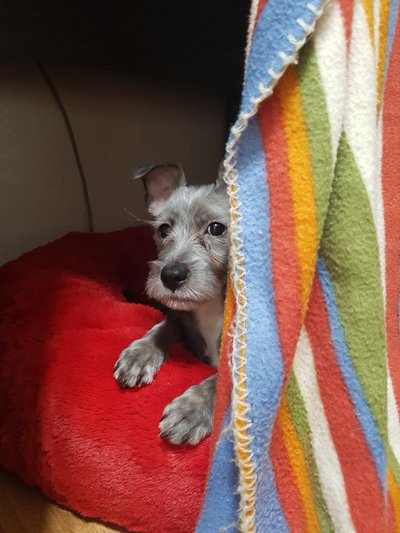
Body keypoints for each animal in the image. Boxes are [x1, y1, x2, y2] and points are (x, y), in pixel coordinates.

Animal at [114, 163, 229, 445]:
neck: (208, 304)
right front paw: (138, 355)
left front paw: (192, 410)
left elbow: (220, 383)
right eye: (164, 230)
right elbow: (162, 327)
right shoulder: (181, 318)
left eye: (216, 229)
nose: (170, 275)